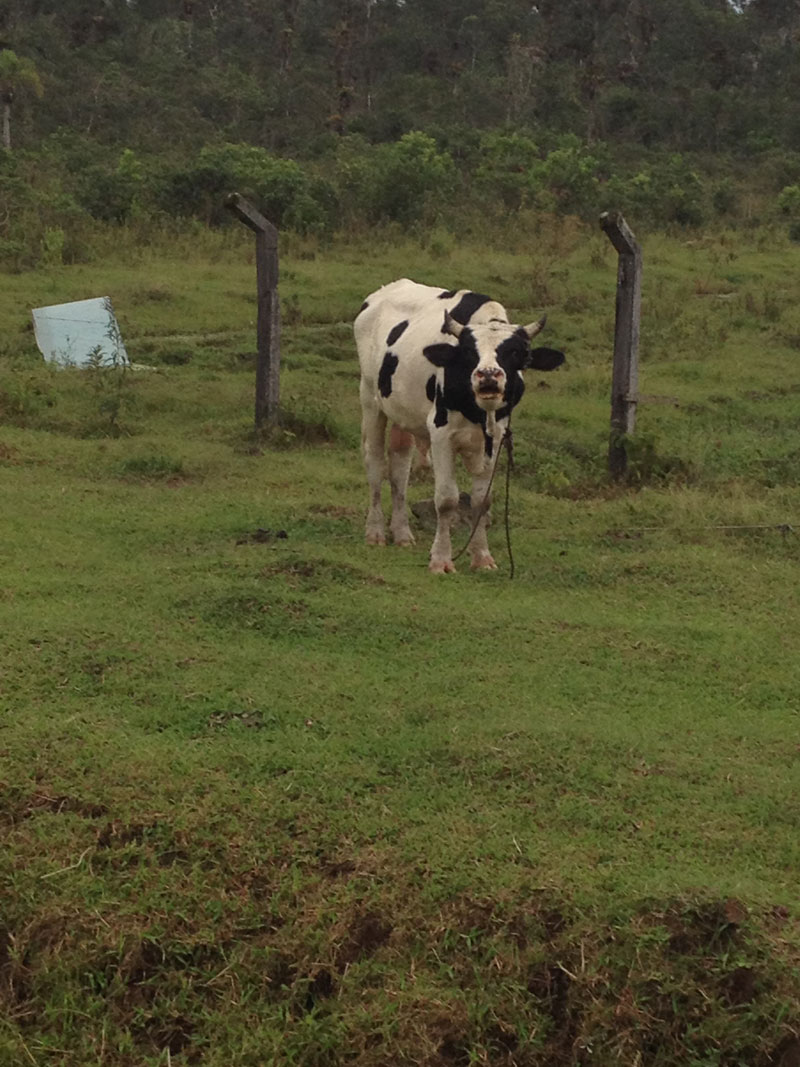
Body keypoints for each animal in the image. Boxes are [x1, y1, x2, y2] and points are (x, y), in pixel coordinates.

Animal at [355, 278, 565, 574]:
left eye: (515, 352)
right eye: (468, 352)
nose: (488, 376)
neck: (478, 411)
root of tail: (386, 289)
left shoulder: (495, 438)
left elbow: (482, 501)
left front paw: (483, 557)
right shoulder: (441, 435)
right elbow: (446, 500)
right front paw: (441, 560)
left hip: (402, 412)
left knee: (399, 467)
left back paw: (402, 533)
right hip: (371, 401)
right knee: (374, 463)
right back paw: (375, 532)